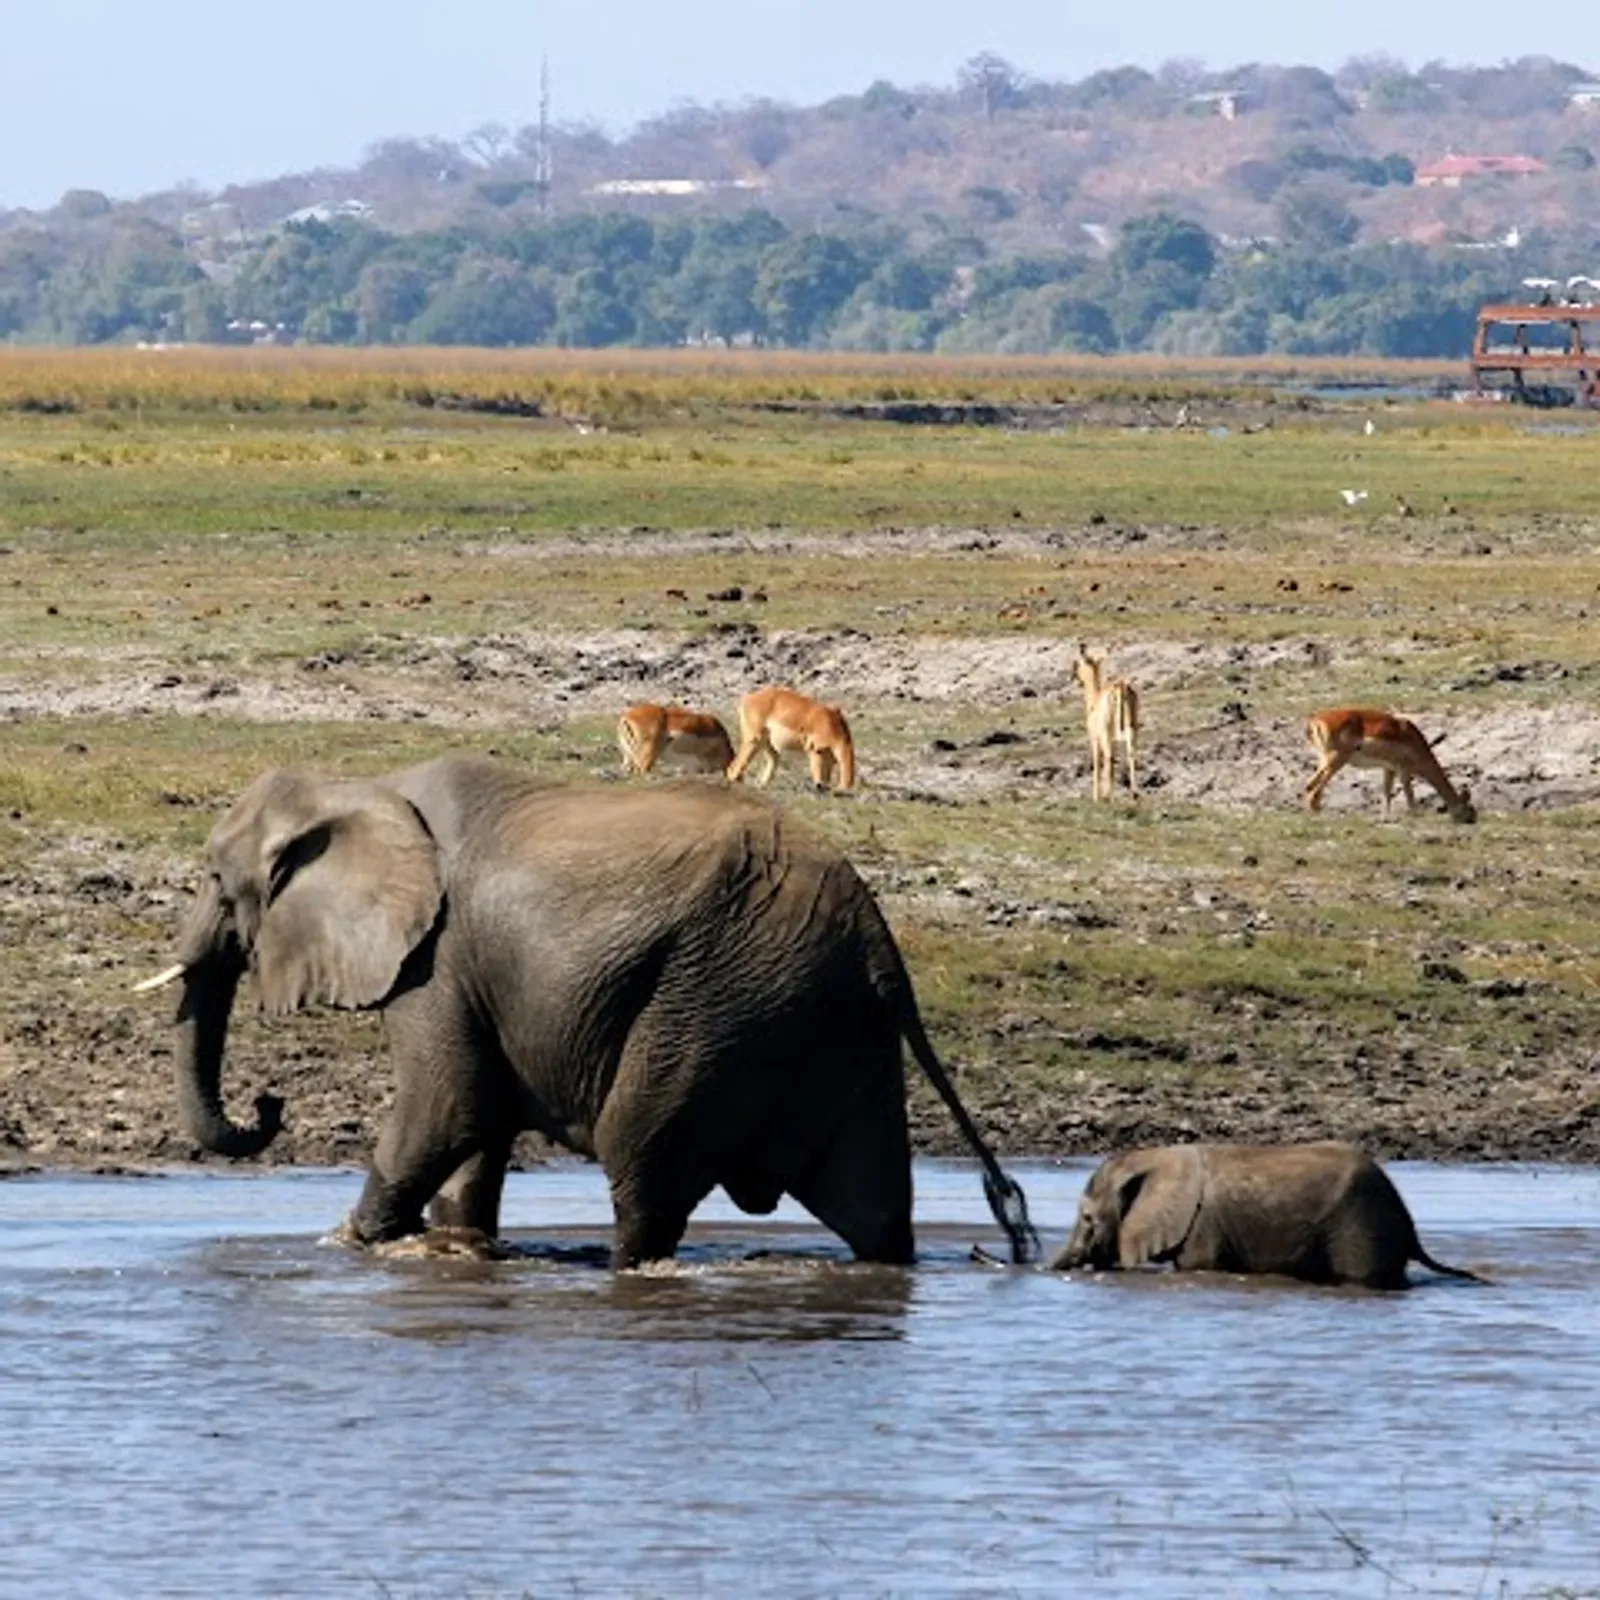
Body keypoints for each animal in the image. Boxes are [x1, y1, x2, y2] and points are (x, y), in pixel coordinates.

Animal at [140, 755, 1036, 1267]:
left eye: (216, 880)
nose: (270, 1104)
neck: (360, 788)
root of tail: (880, 942)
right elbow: (475, 1140)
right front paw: (456, 1250)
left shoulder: (437, 959)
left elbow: (449, 1108)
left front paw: (347, 1247)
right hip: (824, 1019)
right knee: (871, 1200)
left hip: (720, 997)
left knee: (643, 1164)